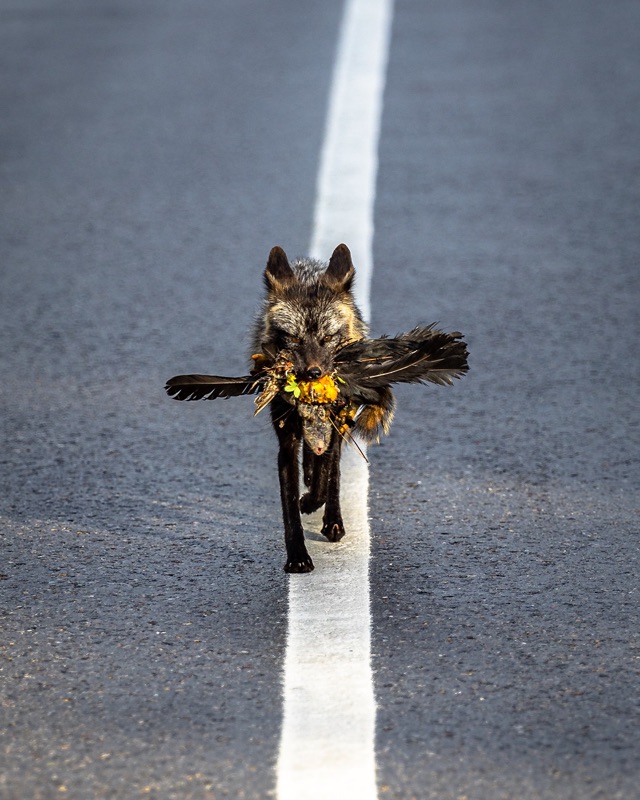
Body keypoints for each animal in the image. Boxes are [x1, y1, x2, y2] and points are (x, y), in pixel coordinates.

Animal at [165, 243, 468, 573]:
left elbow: (327, 475)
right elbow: (289, 505)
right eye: (294, 338)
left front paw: (315, 504)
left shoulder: (335, 426)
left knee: (330, 469)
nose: (312, 374)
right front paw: (297, 555)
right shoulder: (286, 440)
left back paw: (331, 516)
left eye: (327, 337)